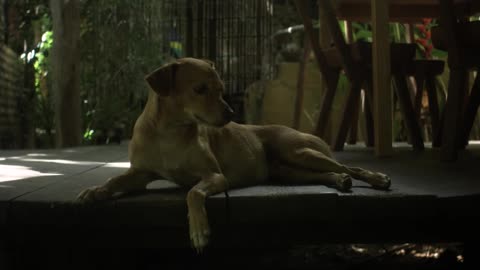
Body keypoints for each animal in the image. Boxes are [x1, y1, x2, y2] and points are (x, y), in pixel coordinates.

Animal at [76, 58, 390, 252]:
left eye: (221, 89)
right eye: (200, 89)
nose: (230, 115)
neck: (169, 133)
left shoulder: (215, 176)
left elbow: (193, 193)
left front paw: (199, 231)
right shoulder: (140, 173)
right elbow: (115, 181)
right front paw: (94, 191)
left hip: (299, 151)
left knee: (350, 168)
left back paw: (377, 178)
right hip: (291, 170)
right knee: (328, 174)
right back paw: (339, 181)